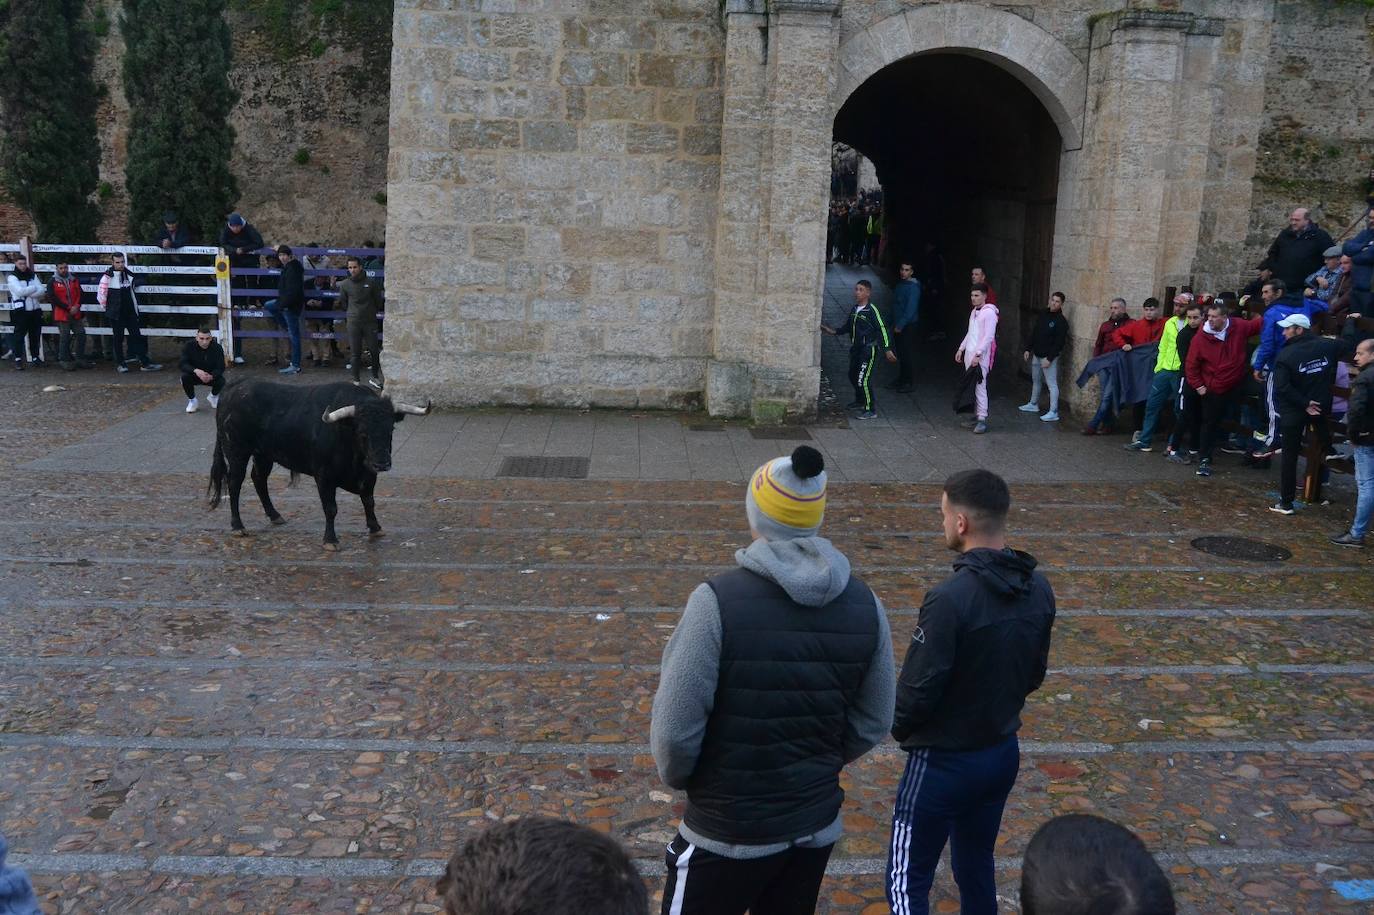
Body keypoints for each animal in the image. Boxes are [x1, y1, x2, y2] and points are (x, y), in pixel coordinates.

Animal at [207, 376, 428, 549]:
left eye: (390, 429)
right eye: (362, 432)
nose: (382, 463)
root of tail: (235, 386)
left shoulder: (368, 474)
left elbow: (369, 500)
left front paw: (375, 528)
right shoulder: (324, 476)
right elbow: (331, 508)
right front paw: (330, 540)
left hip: (263, 455)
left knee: (259, 479)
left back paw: (275, 515)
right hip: (237, 453)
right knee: (234, 484)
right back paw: (238, 526)